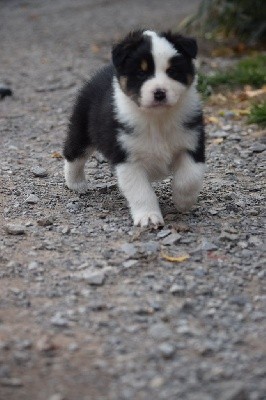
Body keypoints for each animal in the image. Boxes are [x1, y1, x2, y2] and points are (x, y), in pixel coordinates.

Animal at [63, 29, 205, 227]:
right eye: (141, 72)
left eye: (172, 71)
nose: (159, 93)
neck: (157, 119)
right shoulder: (127, 157)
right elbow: (141, 191)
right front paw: (149, 217)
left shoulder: (192, 141)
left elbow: (190, 177)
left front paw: (183, 201)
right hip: (82, 127)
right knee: (73, 154)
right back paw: (76, 183)